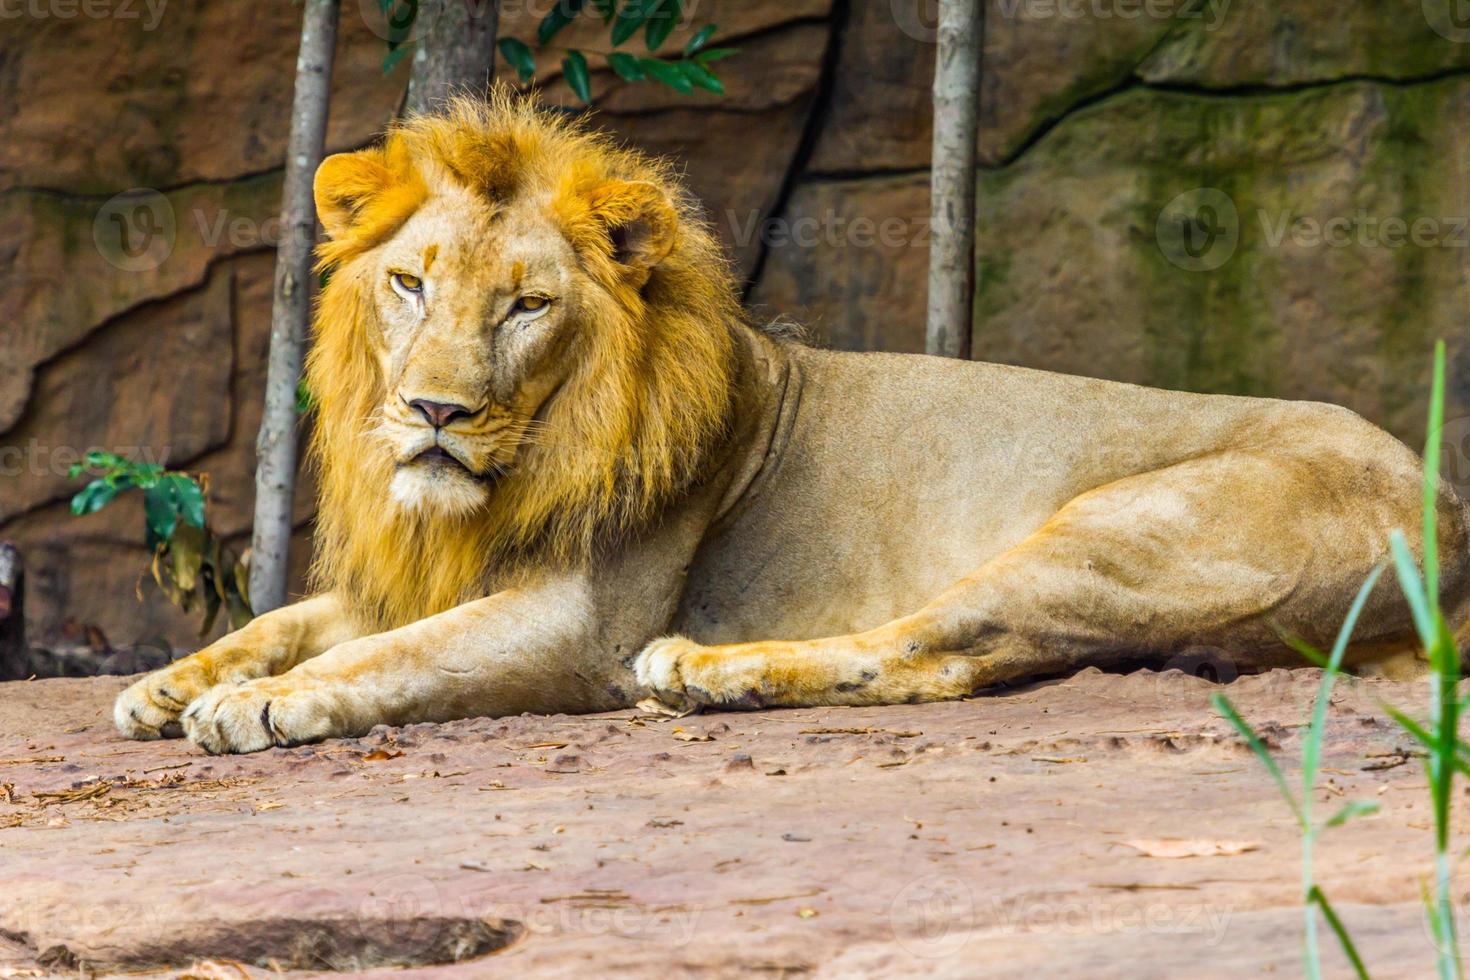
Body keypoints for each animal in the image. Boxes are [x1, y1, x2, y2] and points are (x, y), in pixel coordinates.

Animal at [111, 91, 1470, 758]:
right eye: (408, 283)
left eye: (527, 305)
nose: (433, 410)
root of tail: (1447, 501)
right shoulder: (432, 567)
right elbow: (293, 617)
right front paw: (164, 684)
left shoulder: (581, 618)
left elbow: (386, 657)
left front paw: (255, 707)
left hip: (1123, 526)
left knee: (933, 649)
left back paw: (703, 675)